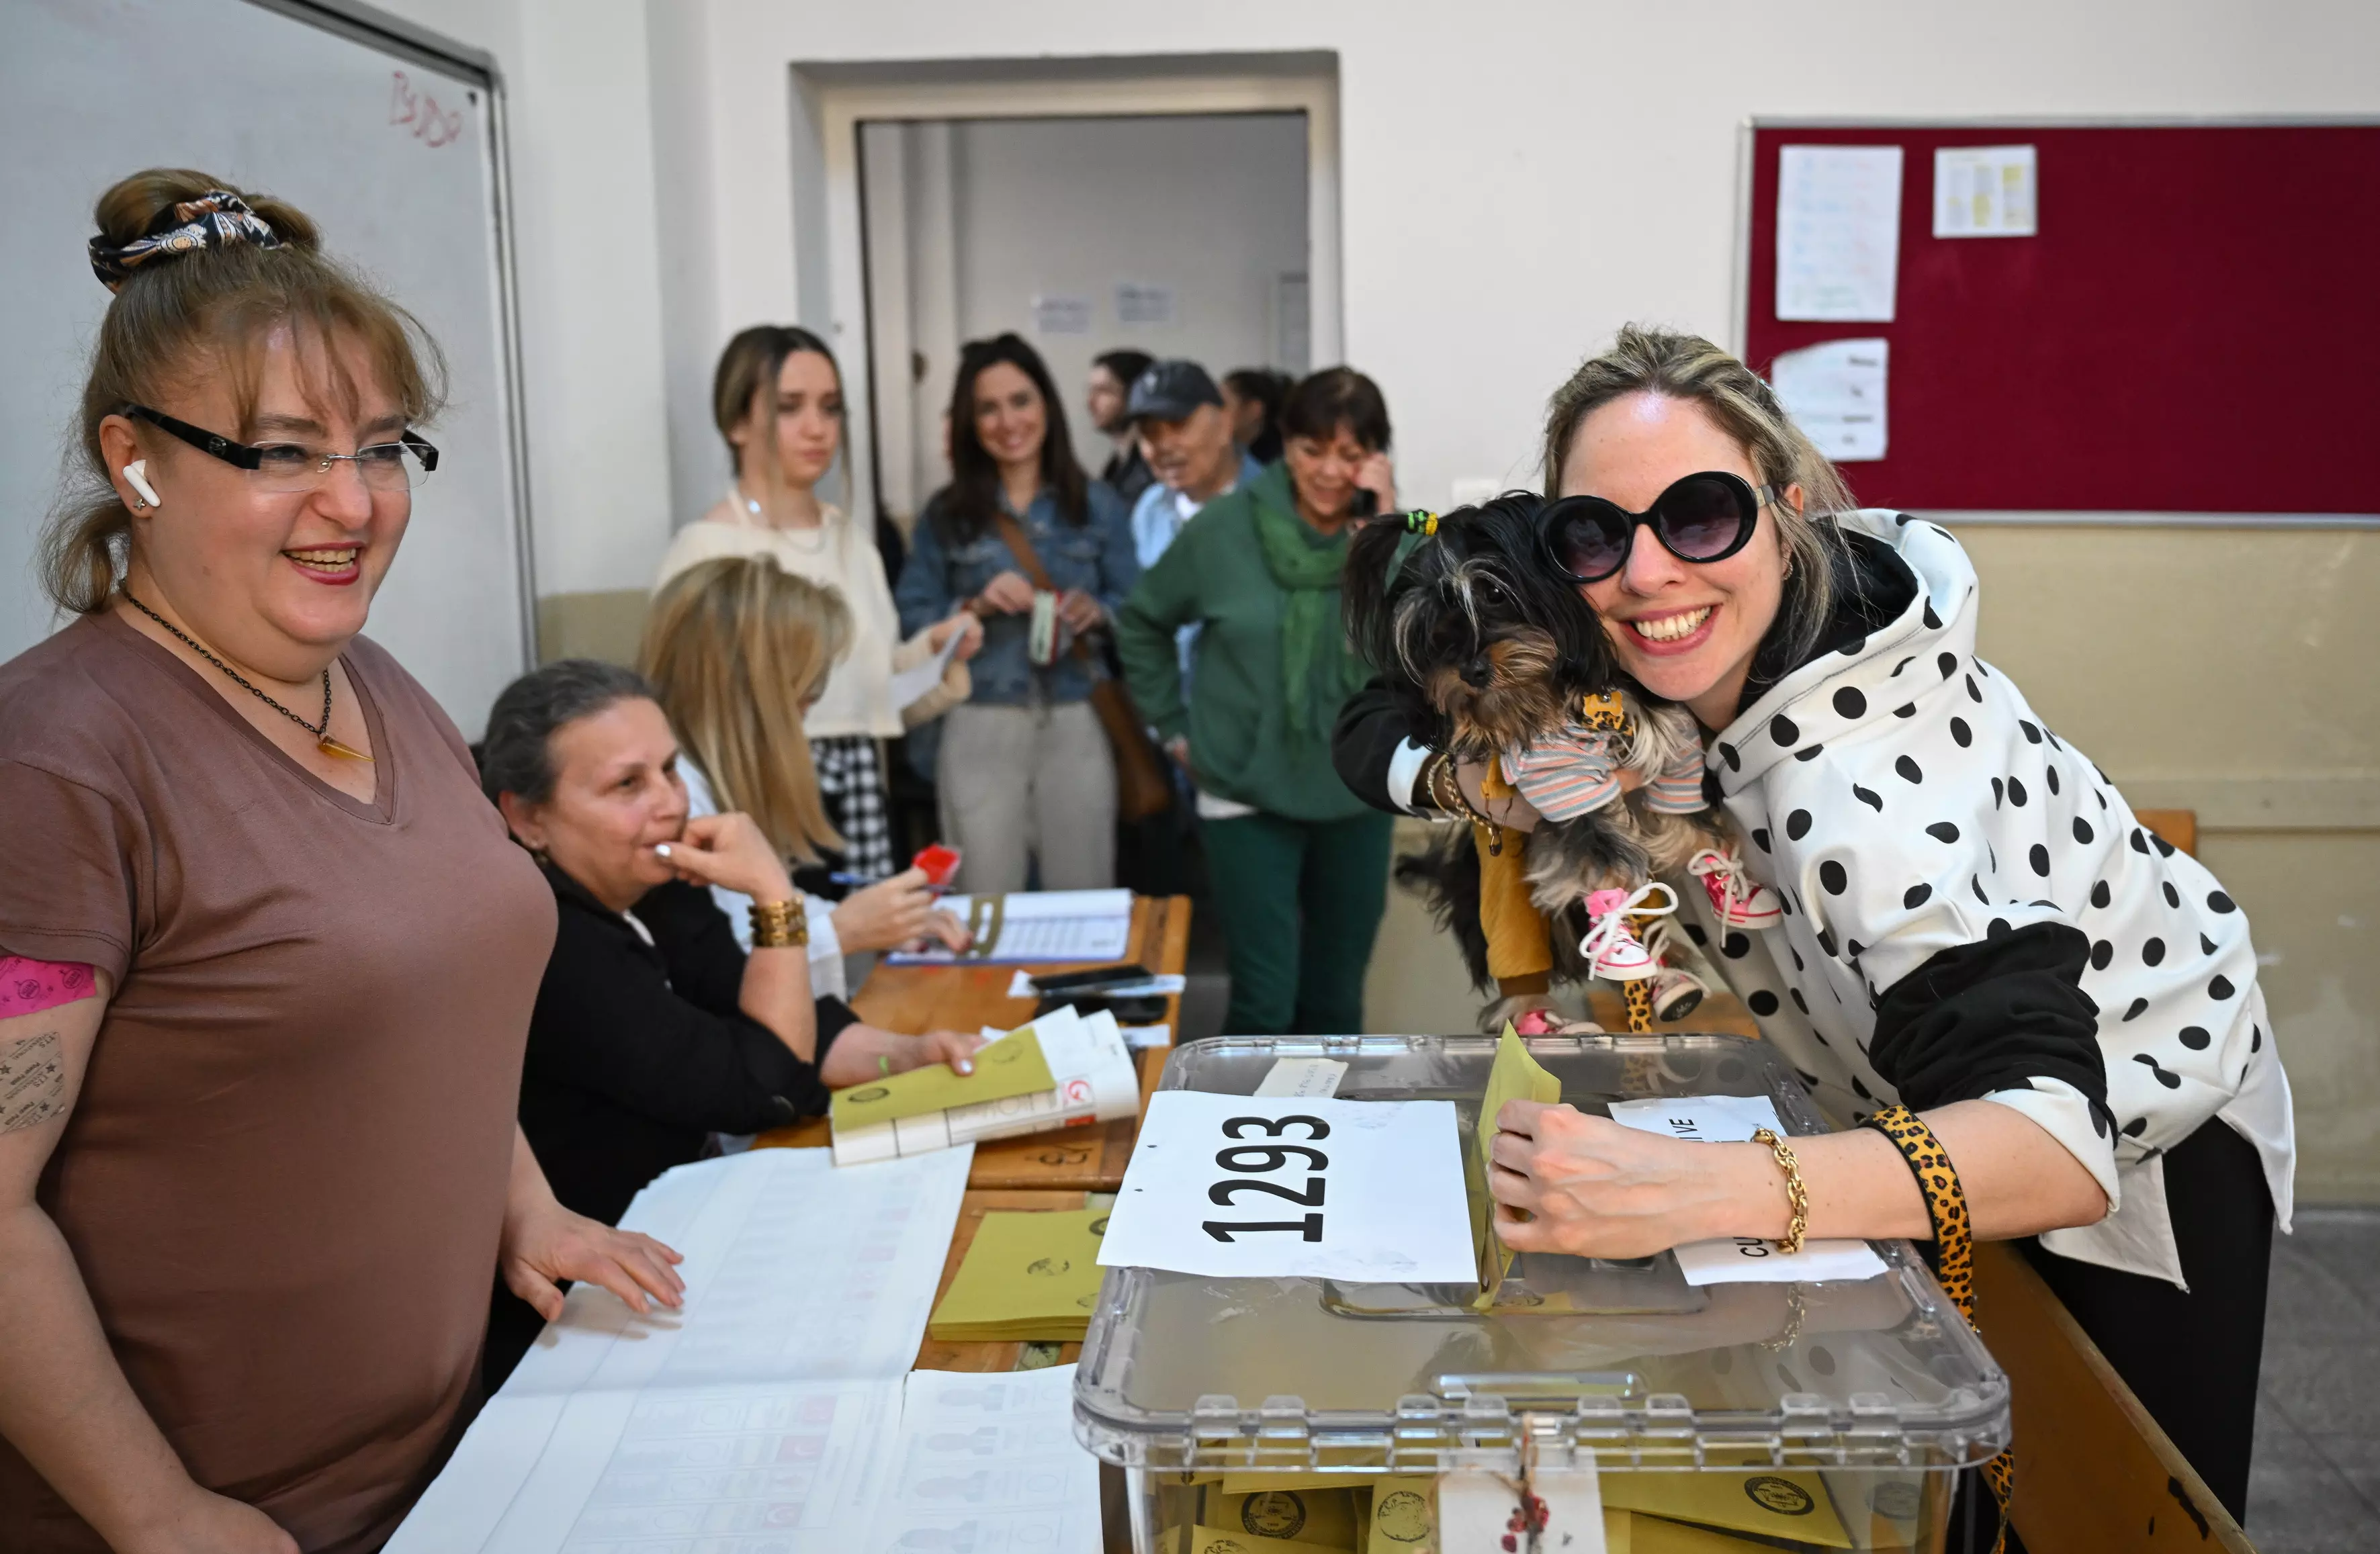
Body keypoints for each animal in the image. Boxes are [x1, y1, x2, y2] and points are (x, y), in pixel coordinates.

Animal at [1352, 490, 1723, 1013]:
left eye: (1493, 593)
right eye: (1430, 631)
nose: (1470, 670)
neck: (1554, 692)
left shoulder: (1674, 736)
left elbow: (1683, 803)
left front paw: (1704, 847)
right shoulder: (1555, 774)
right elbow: (1587, 832)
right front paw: (1604, 875)